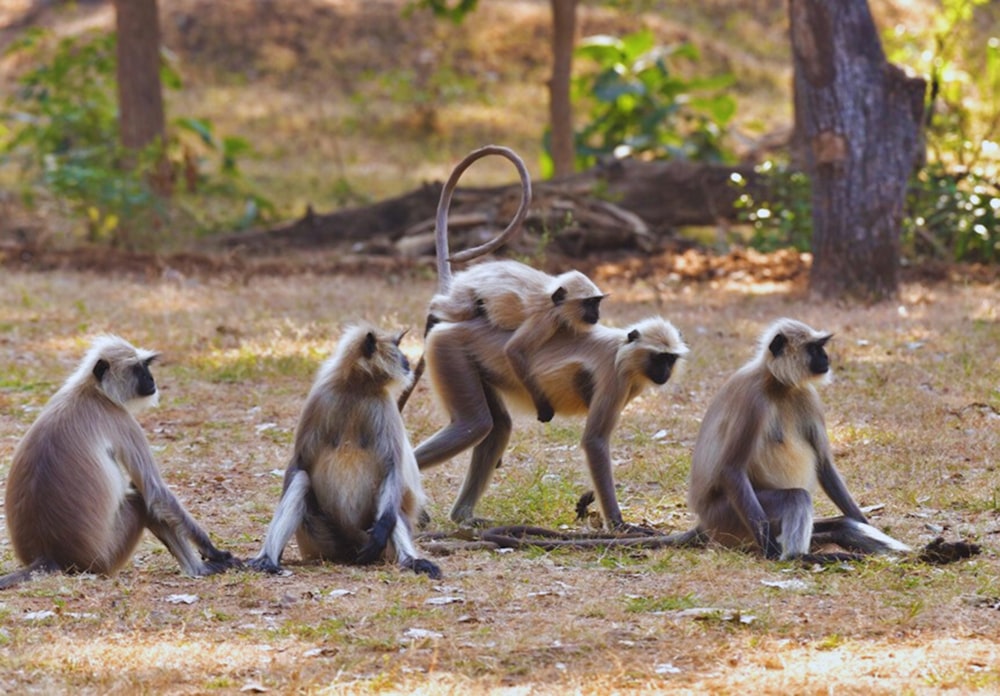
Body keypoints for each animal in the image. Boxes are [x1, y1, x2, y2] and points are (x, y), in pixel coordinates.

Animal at [0, 334, 238, 588]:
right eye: (138, 369)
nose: (151, 379)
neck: (93, 390)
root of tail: (49, 555)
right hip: (106, 556)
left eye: (147, 367)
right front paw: (214, 551)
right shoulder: (120, 418)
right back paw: (199, 570)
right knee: (143, 498)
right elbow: (156, 492)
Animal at [248, 324, 440, 580]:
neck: (357, 387)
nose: (407, 360)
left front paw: (385, 530)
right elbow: (300, 463)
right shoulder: (321, 398)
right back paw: (267, 560)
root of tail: (349, 550)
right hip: (319, 541)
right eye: (397, 347)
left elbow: (391, 468)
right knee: (301, 481)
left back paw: (411, 560)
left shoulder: (384, 405)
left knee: (389, 503)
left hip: (375, 544)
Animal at [412, 312, 688, 532]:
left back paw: (462, 517)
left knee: (498, 427)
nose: (664, 373)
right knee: (475, 424)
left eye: (670, 360)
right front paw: (618, 525)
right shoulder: (615, 375)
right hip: (450, 351)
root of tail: (449, 327)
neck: (623, 350)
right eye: (658, 358)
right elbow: (595, 441)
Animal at [688, 318, 916, 564]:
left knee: (843, 524)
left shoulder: (807, 396)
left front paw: (864, 521)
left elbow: (824, 465)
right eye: (814, 348)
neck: (778, 384)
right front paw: (770, 549)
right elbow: (731, 469)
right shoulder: (753, 400)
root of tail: (705, 522)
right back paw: (799, 556)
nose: (826, 357)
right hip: (727, 515)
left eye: (821, 347)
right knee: (796, 497)